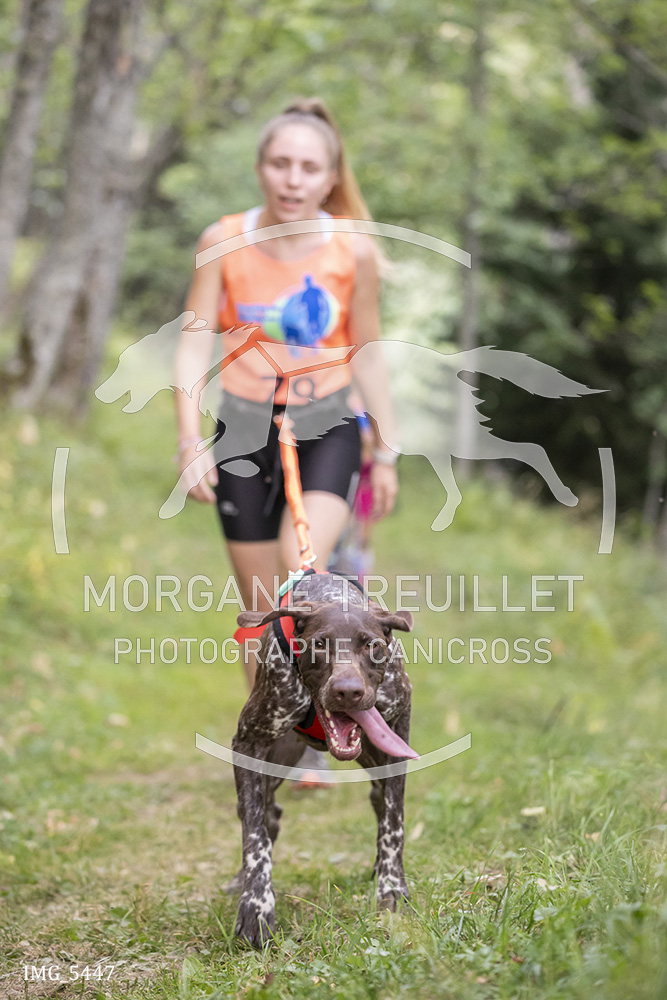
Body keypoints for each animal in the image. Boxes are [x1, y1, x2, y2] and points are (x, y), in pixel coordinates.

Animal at [229, 570, 418, 947]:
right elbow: (255, 837)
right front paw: (256, 905)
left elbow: (394, 824)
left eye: (372, 646)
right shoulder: (248, 744)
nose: (348, 691)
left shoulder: (397, 734)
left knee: (379, 800)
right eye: (319, 645)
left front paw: (391, 887)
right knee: (264, 814)